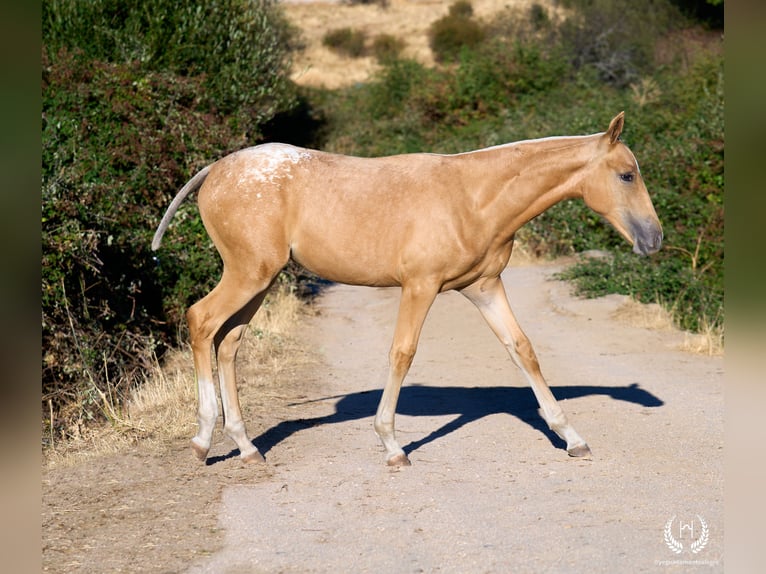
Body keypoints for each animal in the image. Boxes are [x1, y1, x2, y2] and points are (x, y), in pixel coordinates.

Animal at [151, 112, 662, 466]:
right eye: (627, 175)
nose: (654, 239)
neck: (473, 198)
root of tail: (215, 170)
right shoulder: (420, 287)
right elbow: (402, 353)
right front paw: (392, 446)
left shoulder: (485, 288)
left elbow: (522, 349)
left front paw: (572, 439)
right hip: (248, 275)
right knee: (202, 321)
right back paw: (203, 441)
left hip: (259, 280)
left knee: (229, 342)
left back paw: (245, 445)